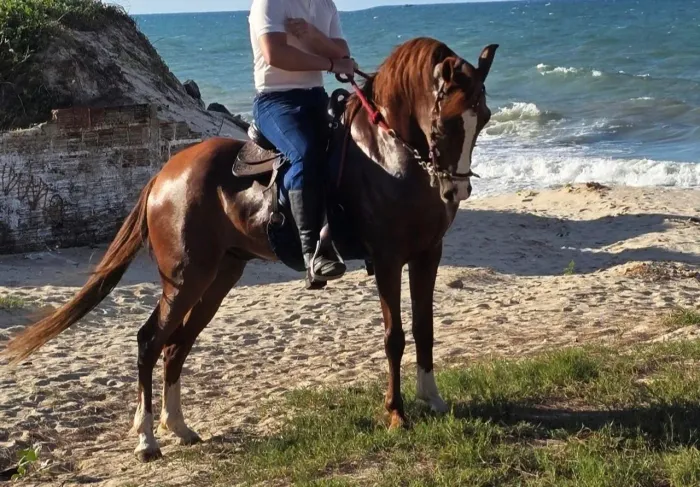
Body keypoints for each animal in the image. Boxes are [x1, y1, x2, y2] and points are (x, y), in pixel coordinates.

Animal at [2, 37, 498, 462]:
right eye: (445, 121)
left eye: (486, 118)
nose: (455, 191)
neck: (388, 154)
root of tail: (164, 175)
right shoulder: (389, 258)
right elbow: (395, 336)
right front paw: (397, 414)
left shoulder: (427, 254)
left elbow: (424, 329)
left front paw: (433, 399)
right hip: (185, 279)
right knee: (150, 341)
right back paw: (146, 439)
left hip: (219, 277)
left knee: (176, 346)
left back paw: (178, 427)